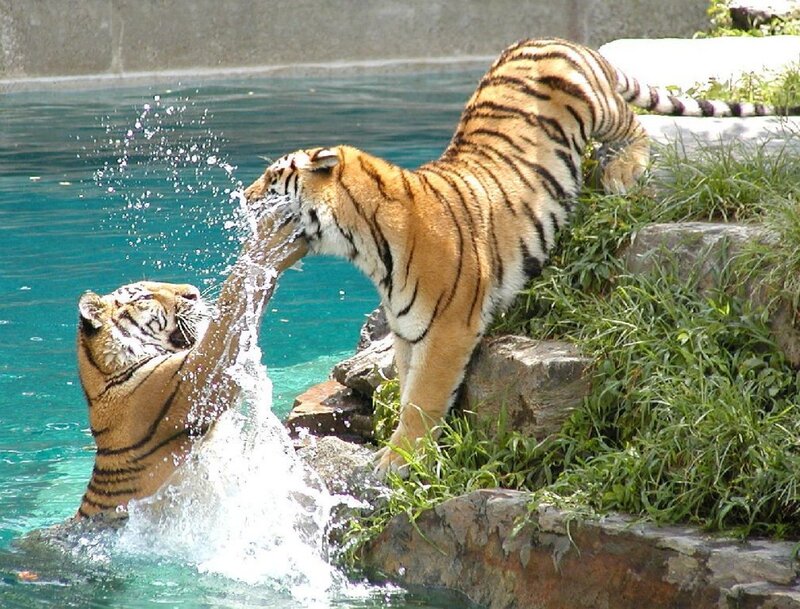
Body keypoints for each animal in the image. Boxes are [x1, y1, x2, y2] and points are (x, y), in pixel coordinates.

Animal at [75, 209, 306, 518]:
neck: (106, 375)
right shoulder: (200, 377)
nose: (193, 292)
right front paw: (278, 232)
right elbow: (232, 301)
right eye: (145, 296)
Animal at [242, 37, 800, 476]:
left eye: (271, 177)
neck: (365, 246)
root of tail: (552, 39)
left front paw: (398, 460)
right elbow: (406, 391)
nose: (244, 198)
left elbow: (422, 398)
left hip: (599, 106)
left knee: (634, 124)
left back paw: (622, 172)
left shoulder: (448, 329)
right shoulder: (407, 331)